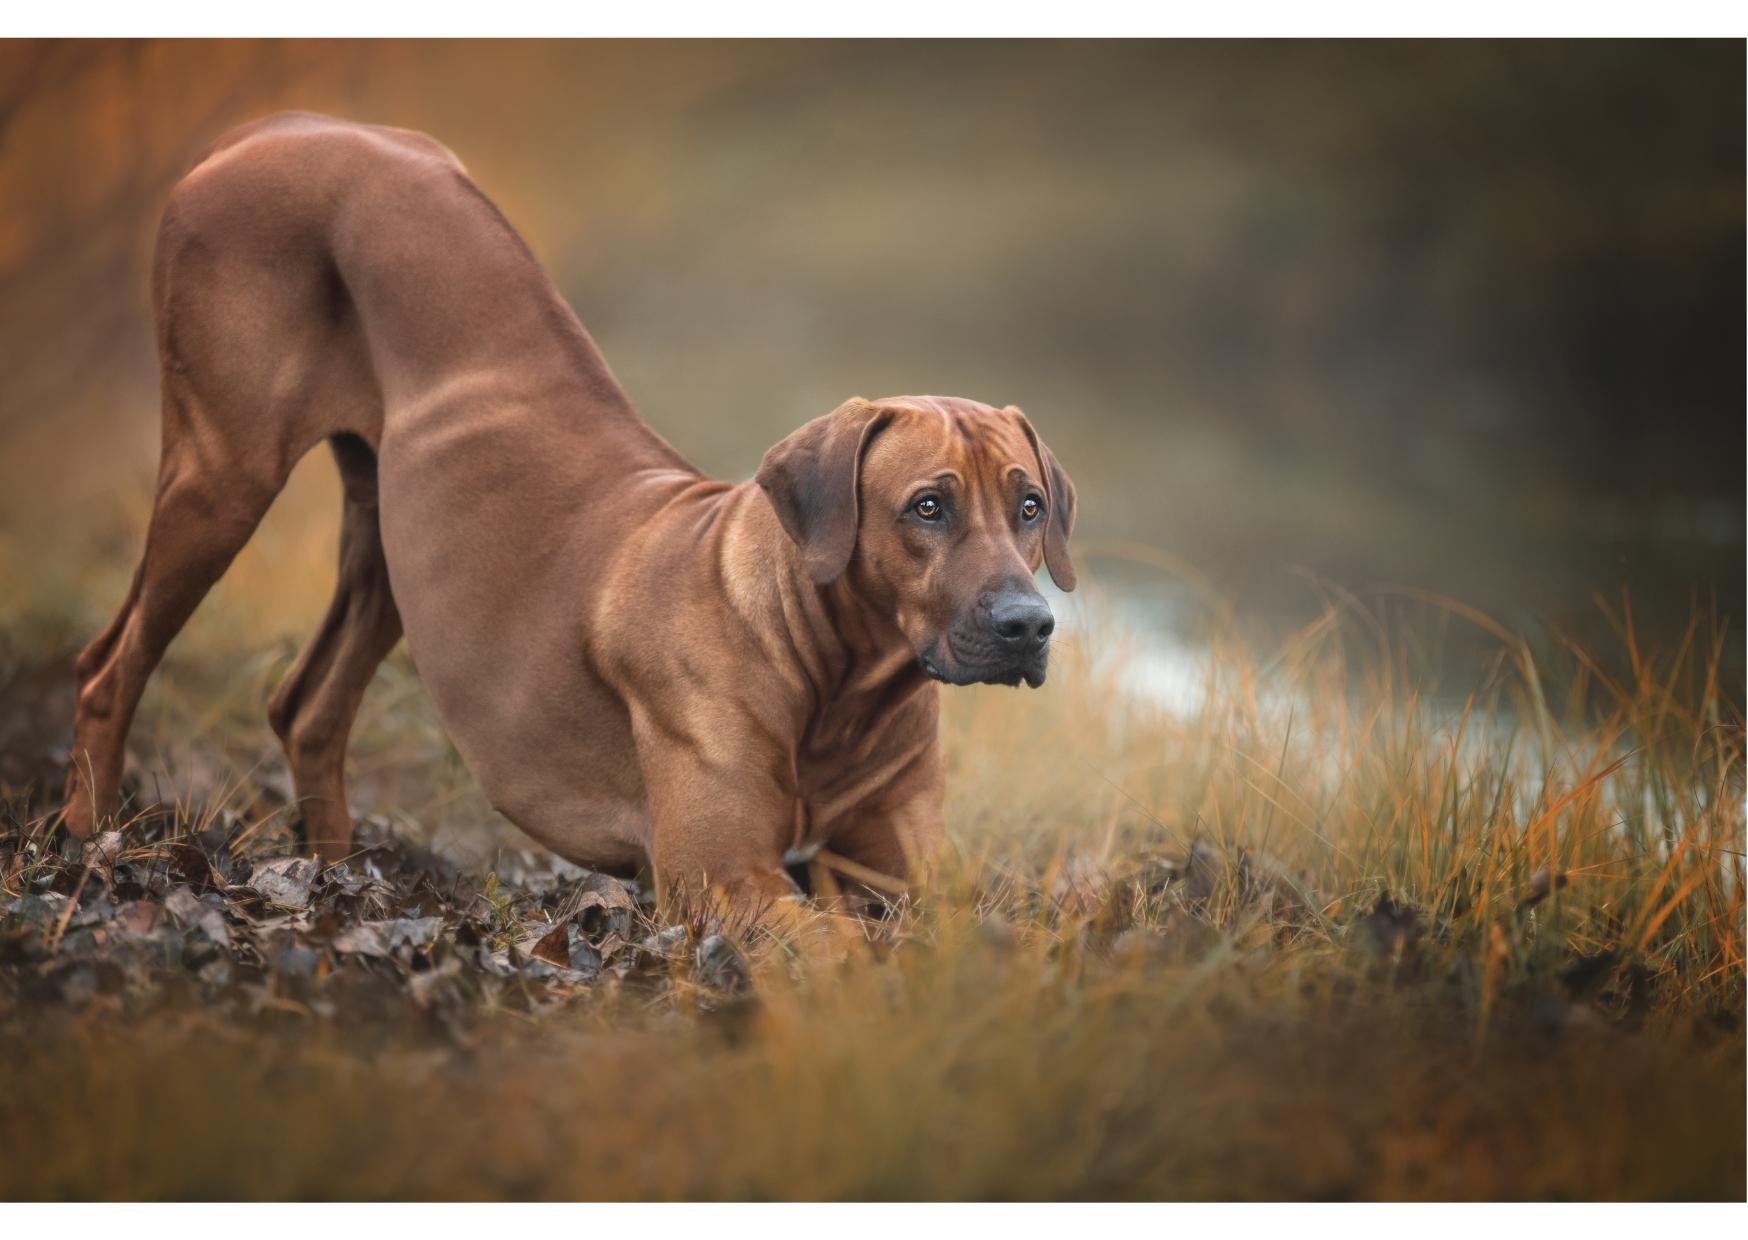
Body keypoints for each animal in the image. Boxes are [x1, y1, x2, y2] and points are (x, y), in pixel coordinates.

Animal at [61, 113, 1069, 909]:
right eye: (927, 506)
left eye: (1028, 506)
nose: (1030, 625)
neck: (837, 683)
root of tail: (275, 127)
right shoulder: (726, 880)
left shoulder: (908, 877)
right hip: (223, 472)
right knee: (108, 667)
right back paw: (86, 842)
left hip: (399, 546)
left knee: (307, 706)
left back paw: (334, 875)